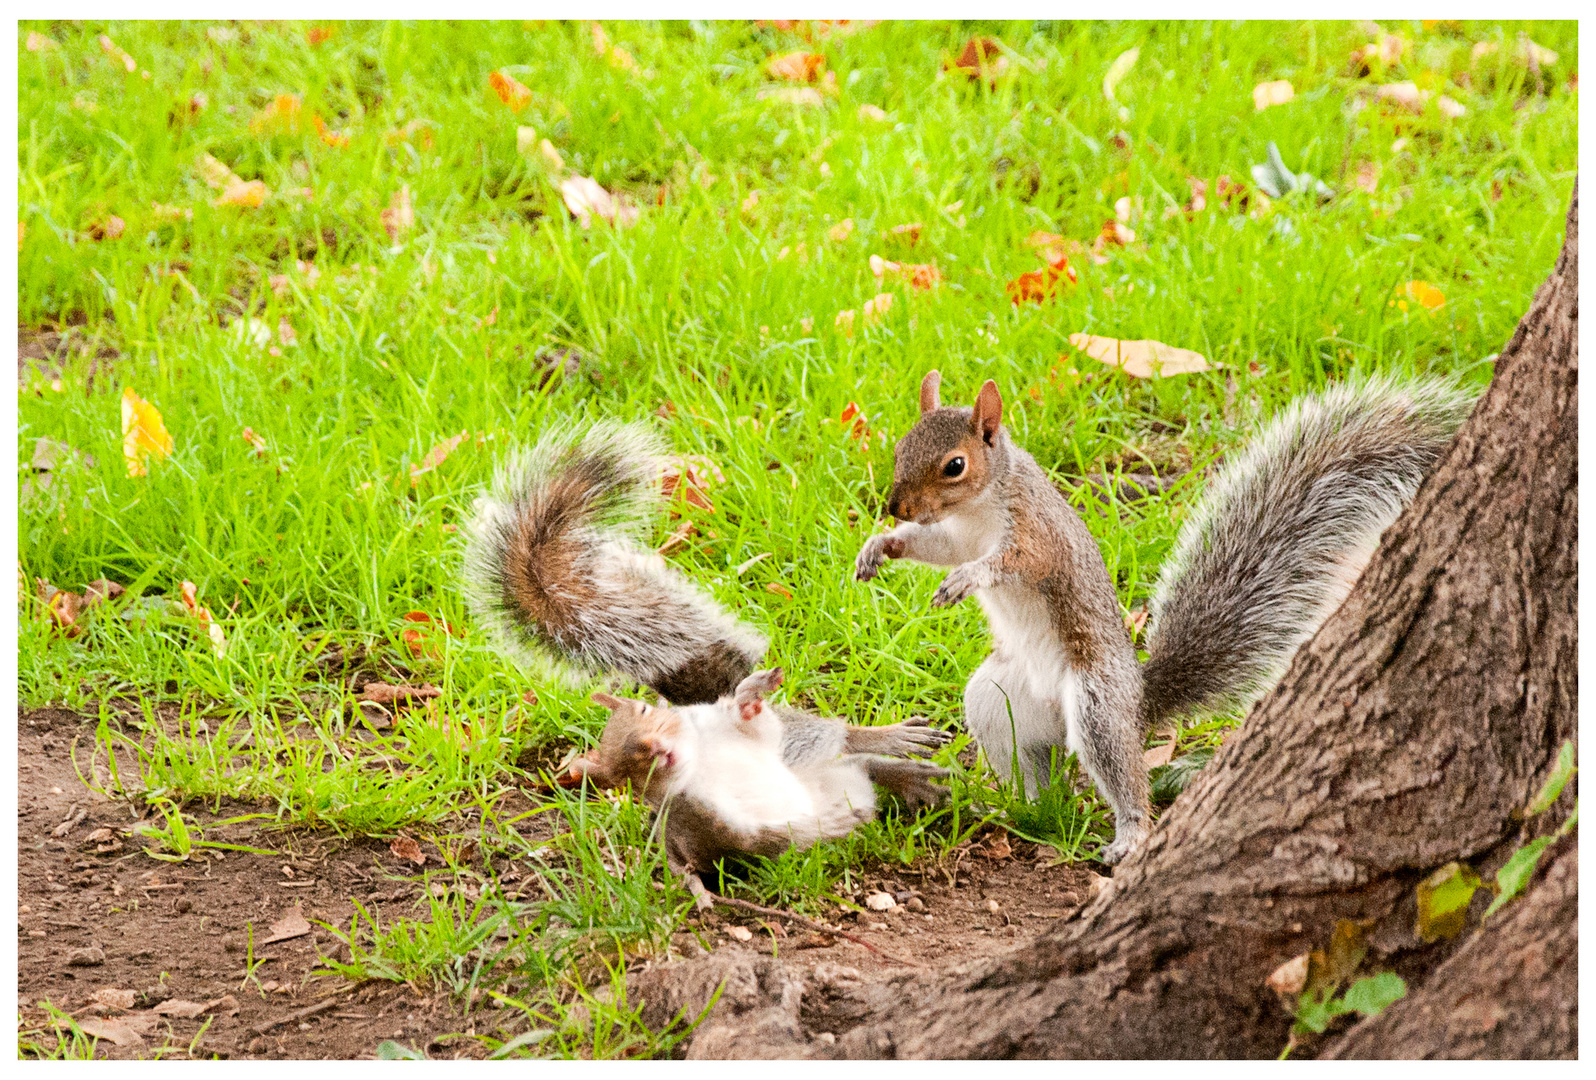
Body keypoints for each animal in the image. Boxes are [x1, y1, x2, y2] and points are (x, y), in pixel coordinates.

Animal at [861, 368, 1468, 861]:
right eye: (900, 447)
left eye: (954, 466)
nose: (894, 506)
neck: (980, 506)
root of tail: (1139, 706)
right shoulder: (955, 536)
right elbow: (934, 547)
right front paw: (881, 546)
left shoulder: (1035, 536)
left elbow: (1006, 563)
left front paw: (965, 579)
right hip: (997, 699)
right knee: (1039, 773)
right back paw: (1015, 804)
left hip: (1097, 701)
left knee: (1123, 775)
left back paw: (1130, 832)